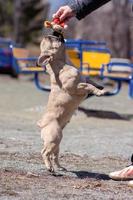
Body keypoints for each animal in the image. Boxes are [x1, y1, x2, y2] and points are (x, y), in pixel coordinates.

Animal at [37, 20, 105, 173]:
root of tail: (42, 125)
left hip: (57, 142)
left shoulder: (83, 79)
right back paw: (50, 168)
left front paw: (100, 87)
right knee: (45, 152)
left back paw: (59, 167)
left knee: (54, 154)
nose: (54, 32)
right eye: (51, 39)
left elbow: (91, 81)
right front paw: (98, 92)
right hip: (54, 136)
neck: (63, 63)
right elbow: (88, 86)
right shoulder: (76, 87)